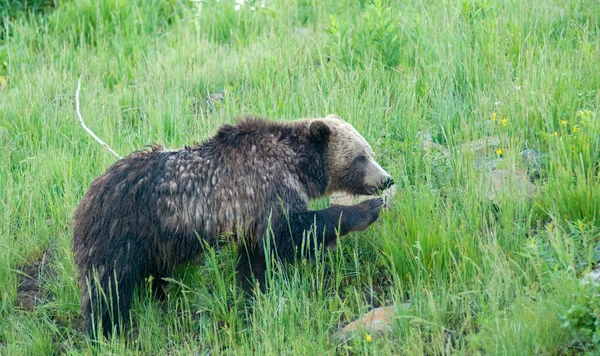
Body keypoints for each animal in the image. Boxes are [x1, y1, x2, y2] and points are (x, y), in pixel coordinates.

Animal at [72, 114, 394, 336]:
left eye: (369, 152)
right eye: (360, 156)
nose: (386, 179)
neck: (297, 166)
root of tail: (85, 198)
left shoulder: (252, 219)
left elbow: (255, 262)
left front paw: (252, 296)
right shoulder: (265, 188)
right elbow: (291, 231)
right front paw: (367, 209)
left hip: (153, 244)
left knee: (153, 278)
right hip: (121, 232)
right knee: (108, 290)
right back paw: (106, 332)